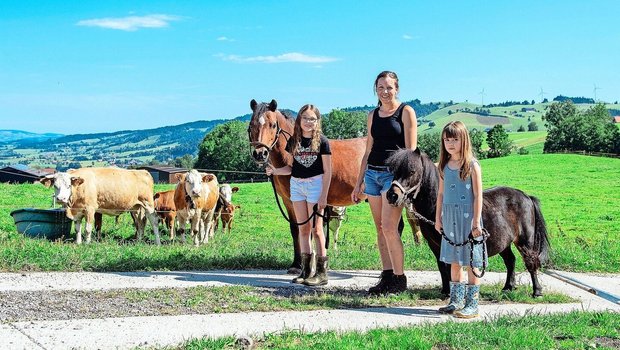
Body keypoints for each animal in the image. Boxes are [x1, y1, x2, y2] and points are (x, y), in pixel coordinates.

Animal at [247, 98, 366, 274]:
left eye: (273, 125)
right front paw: (296, 264)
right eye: (251, 125)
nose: (260, 154)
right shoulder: (290, 201)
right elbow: (295, 229)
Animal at [386, 149, 548, 296]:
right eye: (393, 171)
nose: (392, 196)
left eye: (412, 171)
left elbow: (449, 266)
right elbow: (441, 265)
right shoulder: (434, 244)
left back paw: (537, 291)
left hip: (525, 241)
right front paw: (445, 291)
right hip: (504, 242)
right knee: (511, 261)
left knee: (530, 261)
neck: (437, 207)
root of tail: (526, 196)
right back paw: (508, 287)